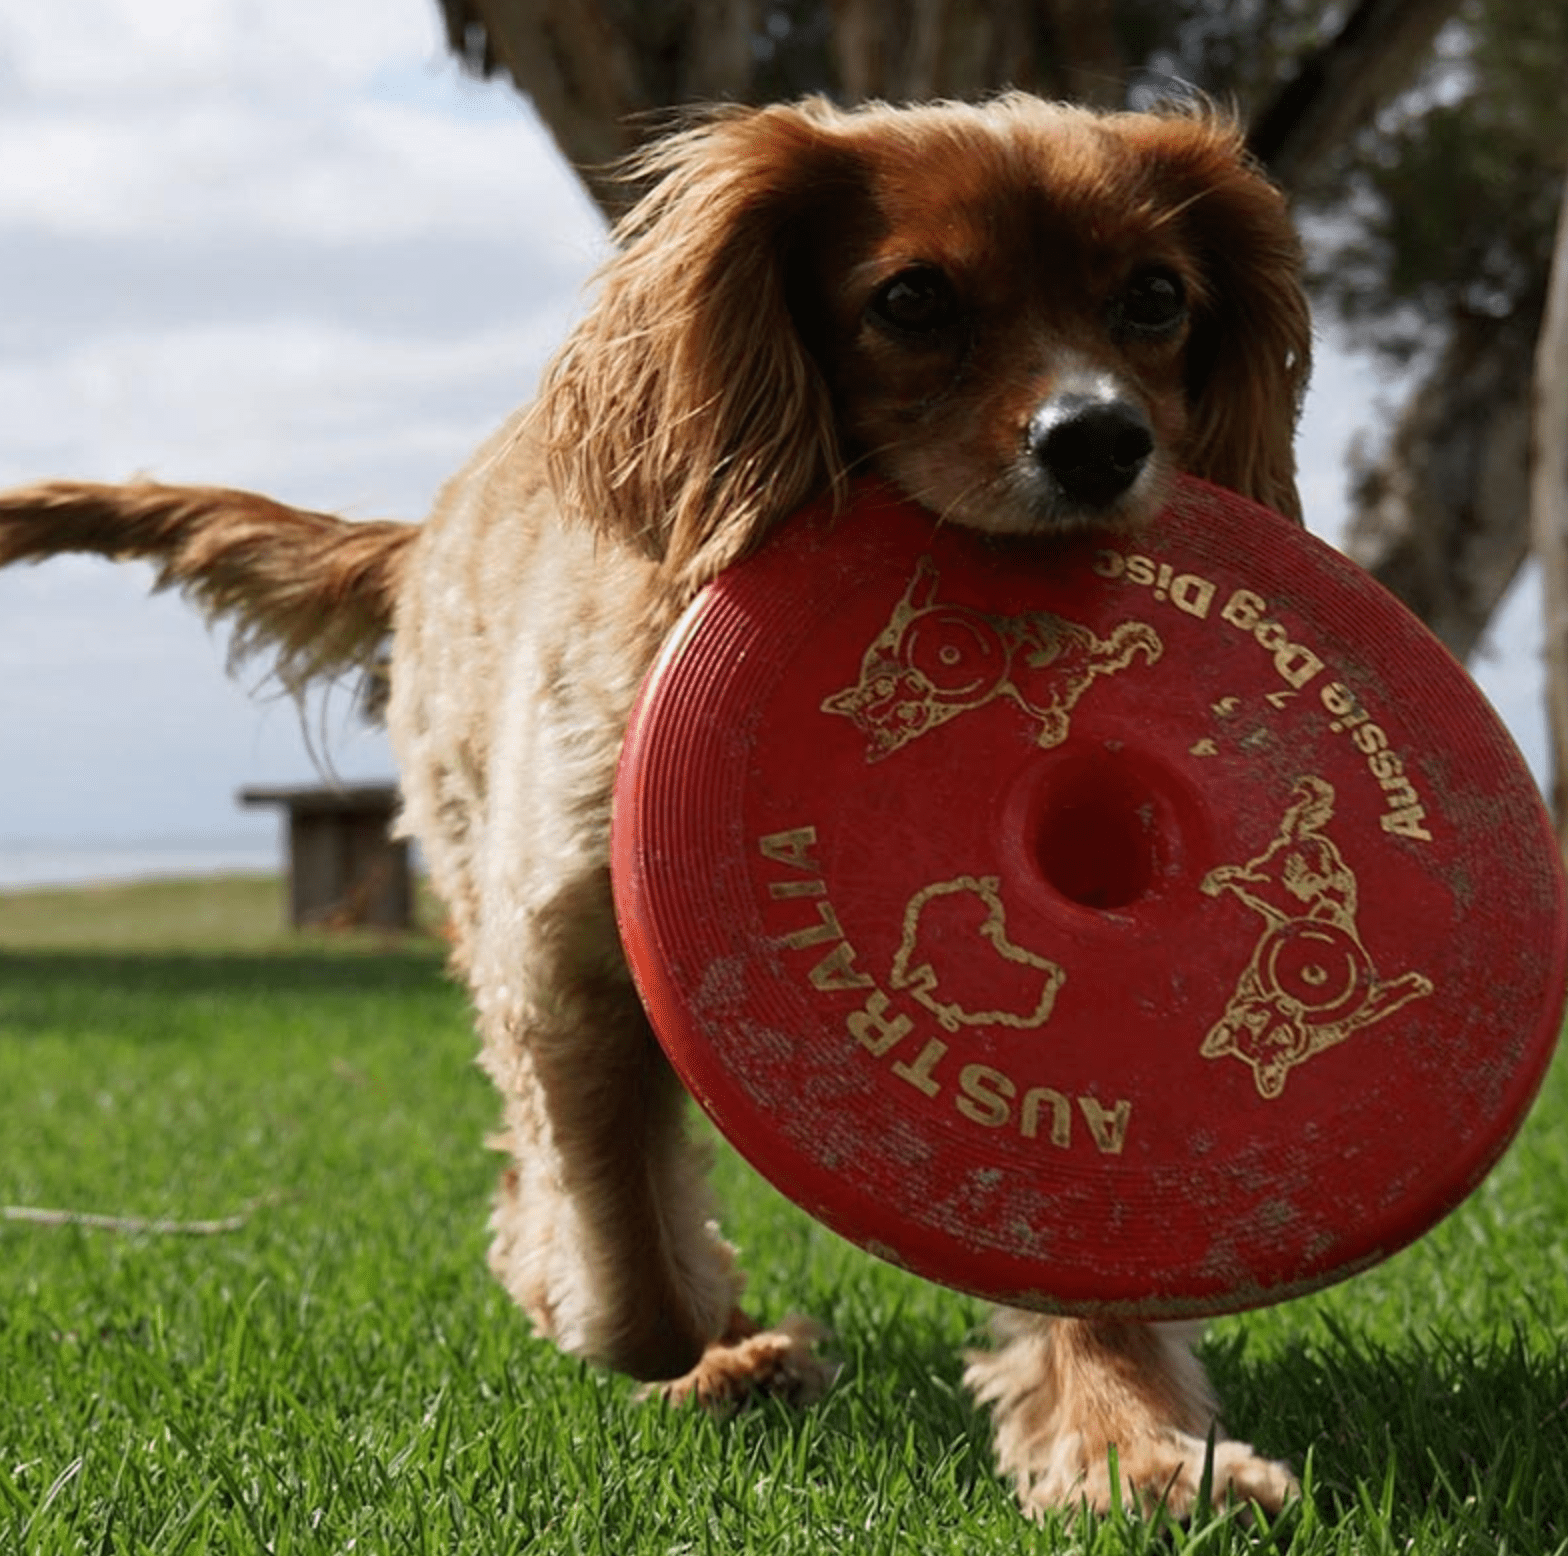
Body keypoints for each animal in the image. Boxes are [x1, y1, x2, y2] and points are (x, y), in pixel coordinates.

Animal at [0, 94, 1310, 1518]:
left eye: (1154, 296)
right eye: (909, 298)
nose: (1097, 439)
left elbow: (1086, 1247)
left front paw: (1132, 1445)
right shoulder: (563, 963)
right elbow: (626, 1257)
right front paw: (703, 1345)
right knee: (544, 1165)